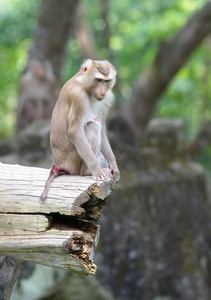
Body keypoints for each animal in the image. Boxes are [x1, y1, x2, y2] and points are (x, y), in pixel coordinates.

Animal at [40, 58, 119, 204]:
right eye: (99, 80)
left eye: (106, 81)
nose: (103, 91)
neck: (85, 87)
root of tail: (57, 162)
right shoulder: (78, 97)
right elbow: (75, 131)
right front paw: (96, 170)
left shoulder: (107, 99)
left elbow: (102, 131)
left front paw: (114, 167)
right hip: (73, 159)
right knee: (92, 127)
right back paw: (86, 171)